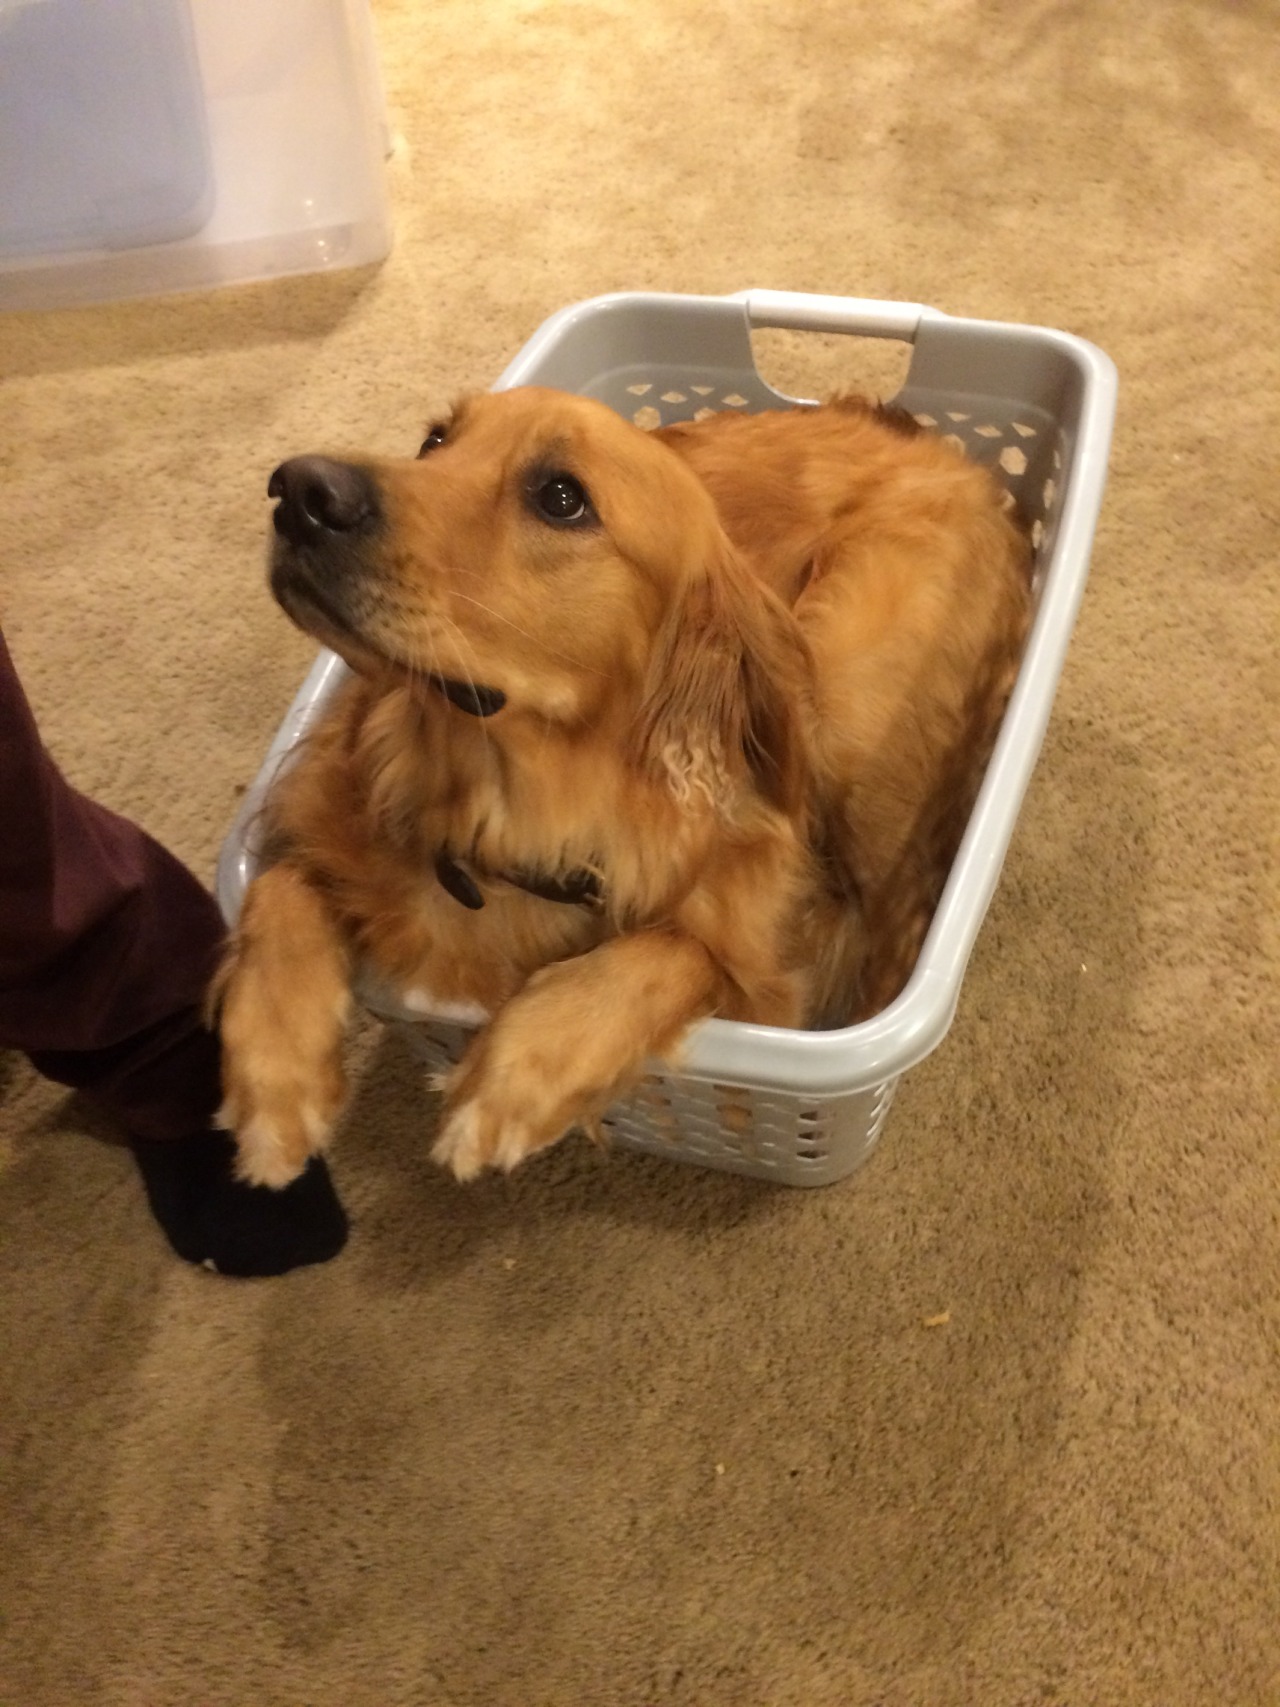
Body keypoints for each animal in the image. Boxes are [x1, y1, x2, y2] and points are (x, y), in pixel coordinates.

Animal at [210, 387, 1030, 1188]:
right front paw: (274, 1085)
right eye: (434, 441)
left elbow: (677, 950)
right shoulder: (322, 790)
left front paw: (515, 1073)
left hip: (845, 700)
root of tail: (953, 456)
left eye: (561, 497)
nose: (300, 489)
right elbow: (279, 882)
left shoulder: (785, 953)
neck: (505, 812)